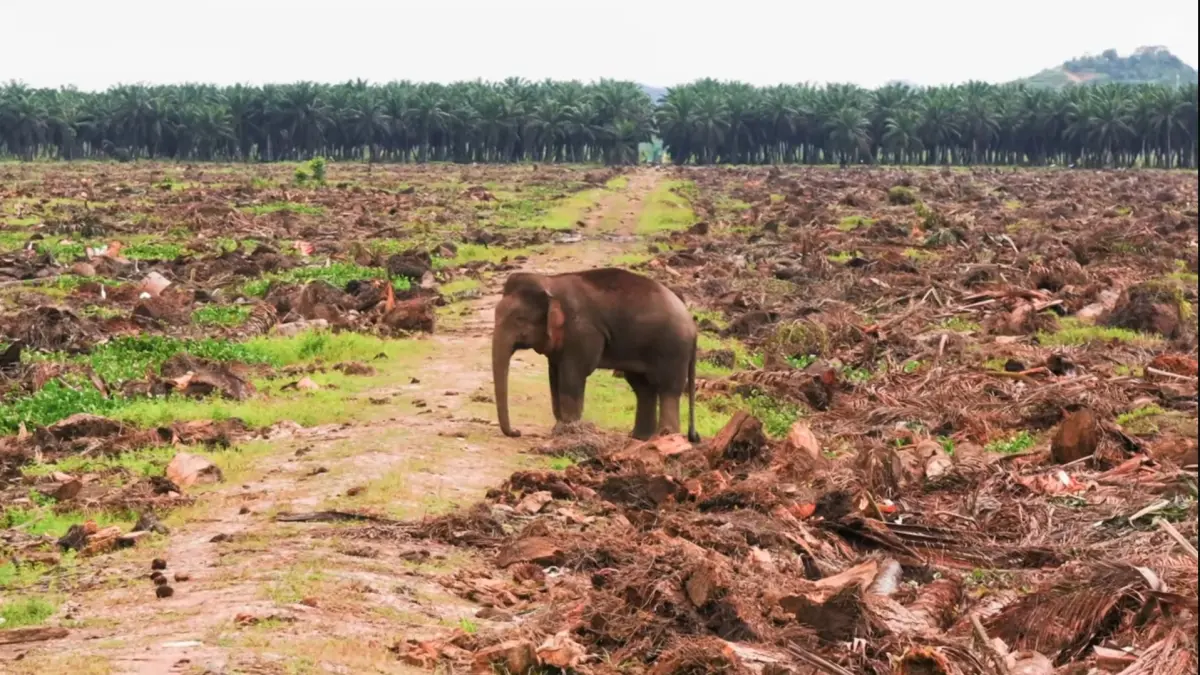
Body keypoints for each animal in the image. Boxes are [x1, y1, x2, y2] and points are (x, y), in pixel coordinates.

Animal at [491, 267, 700, 443]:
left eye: (519, 320)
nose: (517, 432)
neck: (549, 282)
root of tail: (693, 324)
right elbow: (554, 377)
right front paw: (559, 429)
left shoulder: (582, 332)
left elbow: (573, 375)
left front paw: (568, 431)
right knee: (643, 388)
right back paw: (640, 438)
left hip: (672, 349)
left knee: (668, 388)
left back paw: (665, 436)